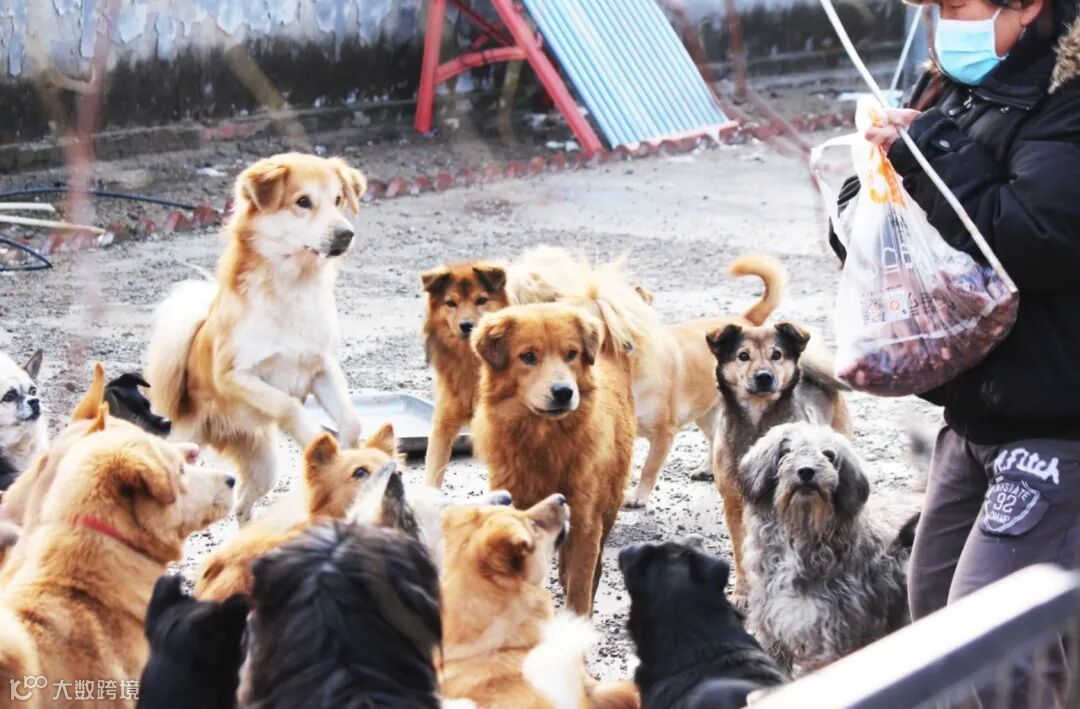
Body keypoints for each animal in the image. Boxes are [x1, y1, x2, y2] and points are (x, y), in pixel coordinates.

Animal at [145, 152, 368, 523]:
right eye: (303, 202)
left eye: (338, 200)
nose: (346, 234)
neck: (294, 286)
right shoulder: (234, 375)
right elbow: (288, 405)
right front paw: (314, 437)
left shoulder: (322, 366)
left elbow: (351, 420)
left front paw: (349, 453)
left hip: (266, 467)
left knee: (242, 506)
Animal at [471, 302, 635, 615]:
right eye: (528, 357)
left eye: (571, 354)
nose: (563, 392)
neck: (544, 442)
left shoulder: (586, 520)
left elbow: (580, 588)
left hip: (609, 504)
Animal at [507, 247, 788, 509]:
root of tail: (746, 319)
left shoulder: (663, 433)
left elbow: (649, 468)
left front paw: (638, 496)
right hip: (705, 414)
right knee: (713, 439)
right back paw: (708, 468)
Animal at [706, 321, 852, 601]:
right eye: (743, 355)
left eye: (777, 354)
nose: (764, 377)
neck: (757, 421)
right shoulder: (733, 503)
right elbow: (740, 552)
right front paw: (742, 592)